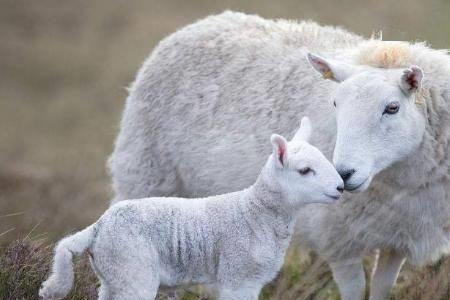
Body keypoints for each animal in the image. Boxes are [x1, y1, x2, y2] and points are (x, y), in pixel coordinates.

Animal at [41, 118, 344, 300]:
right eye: (304, 170)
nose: (341, 187)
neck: (256, 212)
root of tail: (98, 228)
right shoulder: (238, 277)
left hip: (112, 277)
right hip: (133, 270)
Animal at [108, 11, 450, 300]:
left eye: (392, 108)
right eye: (335, 103)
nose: (343, 174)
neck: (399, 180)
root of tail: (201, 23)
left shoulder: (399, 235)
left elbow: (381, 289)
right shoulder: (339, 242)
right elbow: (354, 291)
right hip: (146, 174)